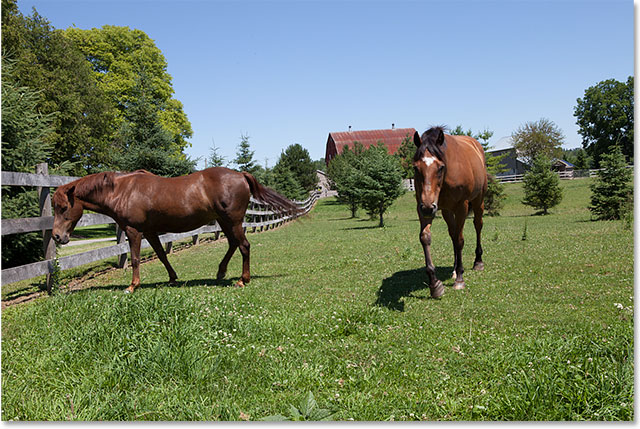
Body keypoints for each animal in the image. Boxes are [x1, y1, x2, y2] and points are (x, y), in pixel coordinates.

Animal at [52, 166, 298, 292]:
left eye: (63, 207)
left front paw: (132, 286)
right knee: (233, 244)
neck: (122, 190)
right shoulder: (150, 232)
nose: (57, 236)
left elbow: (135, 259)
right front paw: (172, 278)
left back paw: (242, 280)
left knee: (244, 245)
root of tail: (240, 175)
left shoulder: (134, 231)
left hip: (233, 221)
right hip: (225, 222)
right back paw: (221, 272)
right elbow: (161, 255)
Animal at [412, 125, 488, 296]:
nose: (428, 208)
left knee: (478, 225)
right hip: (446, 210)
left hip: (478, 201)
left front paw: (460, 279)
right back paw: (454, 269)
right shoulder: (424, 206)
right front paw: (435, 284)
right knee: (453, 233)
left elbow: (460, 240)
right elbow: (425, 237)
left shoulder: (461, 206)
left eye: (440, 167)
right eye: (416, 167)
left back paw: (477, 262)